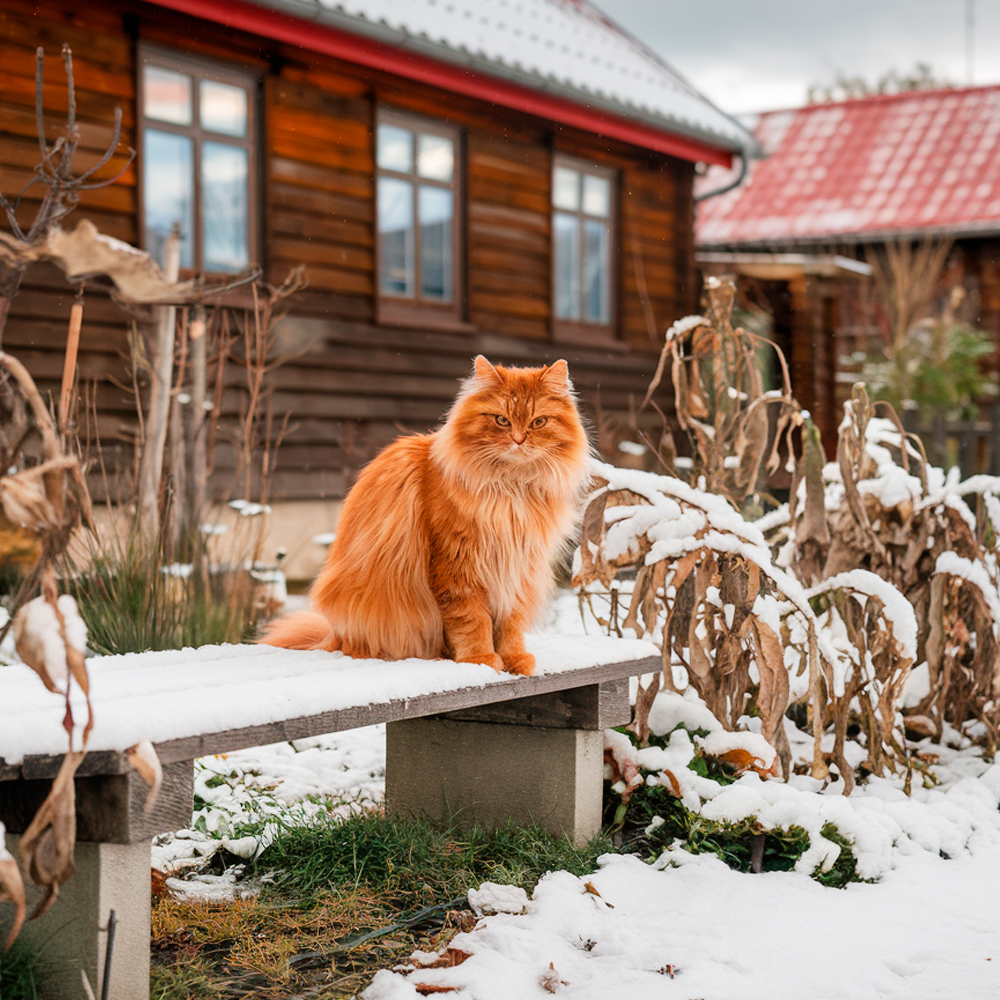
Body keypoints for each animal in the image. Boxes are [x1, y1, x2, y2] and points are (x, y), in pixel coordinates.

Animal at [260, 356, 592, 676]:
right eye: (502, 420)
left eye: (538, 422)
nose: (519, 440)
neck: (511, 490)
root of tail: (335, 635)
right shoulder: (457, 565)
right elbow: (472, 622)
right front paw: (481, 660)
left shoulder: (519, 567)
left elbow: (511, 623)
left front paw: (514, 659)